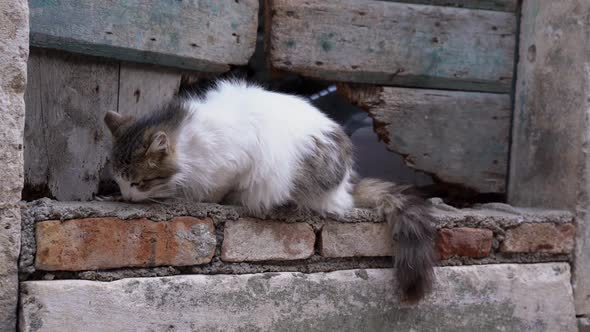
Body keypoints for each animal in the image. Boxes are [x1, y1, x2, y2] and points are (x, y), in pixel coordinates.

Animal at [105, 79, 440, 302]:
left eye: (139, 182)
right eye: (119, 180)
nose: (126, 196)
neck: (187, 142)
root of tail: (345, 183)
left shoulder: (233, 166)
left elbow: (217, 188)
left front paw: (208, 197)